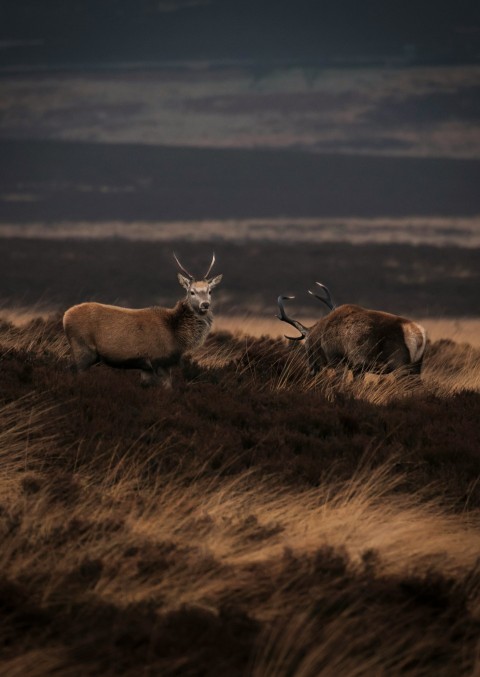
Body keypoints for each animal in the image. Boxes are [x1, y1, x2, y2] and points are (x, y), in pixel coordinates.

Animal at [62, 252, 223, 386]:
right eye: (192, 292)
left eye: (210, 291)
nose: (205, 305)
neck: (177, 335)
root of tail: (65, 316)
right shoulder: (160, 360)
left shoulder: (146, 367)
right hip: (82, 349)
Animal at [278, 282, 428, 378]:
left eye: (306, 345)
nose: (311, 370)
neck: (321, 336)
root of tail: (418, 334)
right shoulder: (358, 368)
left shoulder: (338, 360)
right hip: (416, 365)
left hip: (400, 364)